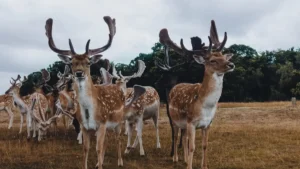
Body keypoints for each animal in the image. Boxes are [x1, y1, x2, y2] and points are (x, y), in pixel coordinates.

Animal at [44, 16, 146, 169]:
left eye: (88, 62)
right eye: (72, 63)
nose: (79, 73)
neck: (89, 112)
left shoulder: (102, 123)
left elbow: (98, 148)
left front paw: (103, 163)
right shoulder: (84, 126)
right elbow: (86, 149)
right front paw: (94, 163)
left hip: (118, 121)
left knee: (117, 139)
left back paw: (120, 161)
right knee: (106, 142)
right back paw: (100, 162)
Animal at [156, 20, 236, 168]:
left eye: (223, 56)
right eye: (212, 60)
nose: (231, 64)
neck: (206, 106)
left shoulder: (208, 124)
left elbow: (204, 145)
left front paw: (203, 166)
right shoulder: (191, 122)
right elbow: (192, 146)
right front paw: (189, 165)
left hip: (184, 124)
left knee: (184, 137)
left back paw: (184, 159)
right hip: (175, 118)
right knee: (176, 135)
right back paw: (175, 158)